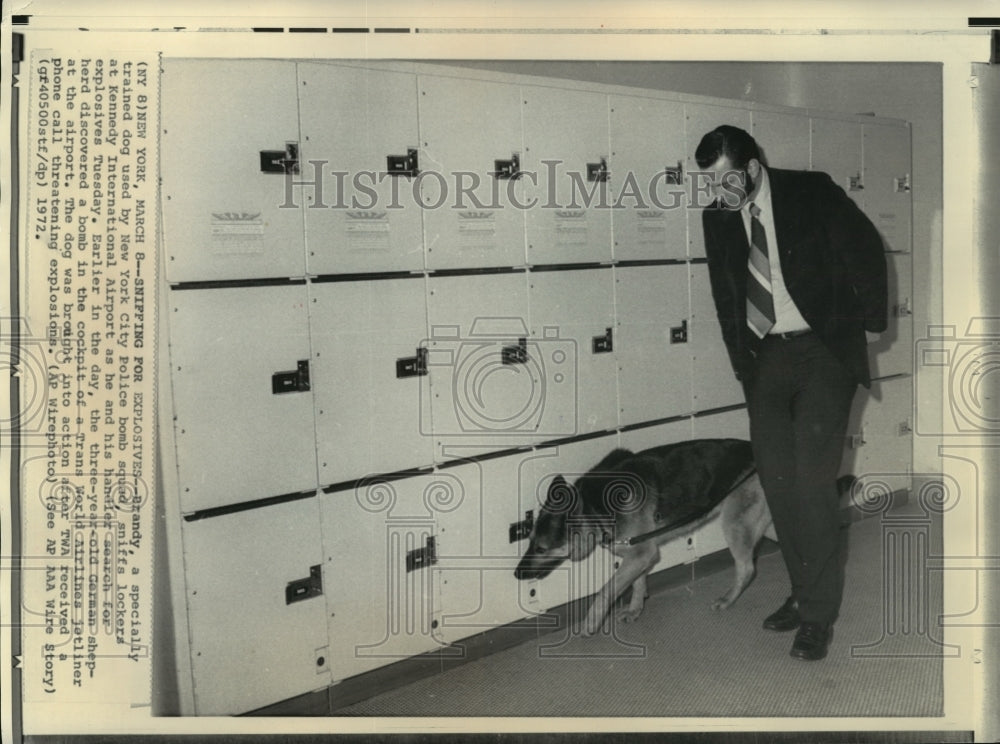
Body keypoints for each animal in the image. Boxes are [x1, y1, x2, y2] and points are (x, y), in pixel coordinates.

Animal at [512, 438, 776, 636]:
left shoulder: (641, 553)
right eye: (530, 541)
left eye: (541, 548)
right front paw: (635, 609)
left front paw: (591, 622)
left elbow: (606, 590)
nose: (516, 574)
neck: (594, 509)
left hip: (735, 525)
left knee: (747, 568)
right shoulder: (639, 555)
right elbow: (638, 583)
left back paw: (728, 599)